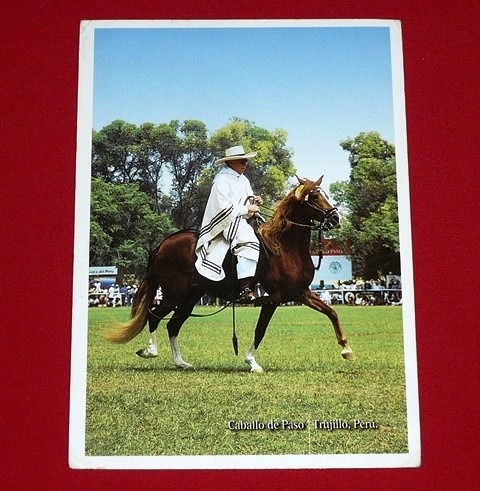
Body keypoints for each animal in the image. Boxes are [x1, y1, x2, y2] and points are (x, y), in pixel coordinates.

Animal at [106, 177, 352, 372]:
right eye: (314, 197)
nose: (336, 218)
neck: (284, 247)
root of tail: (164, 244)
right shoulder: (273, 299)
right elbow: (260, 331)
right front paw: (251, 362)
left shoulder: (301, 293)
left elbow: (331, 312)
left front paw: (346, 349)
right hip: (173, 294)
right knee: (155, 316)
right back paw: (151, 351)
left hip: (190, 298)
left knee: (172, 325)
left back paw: (181, 362)